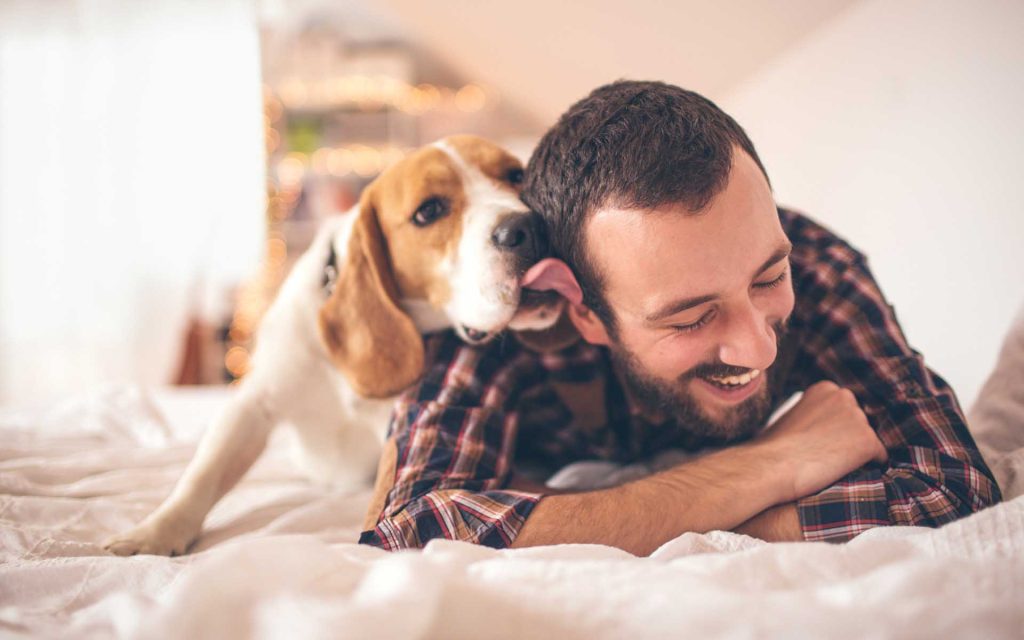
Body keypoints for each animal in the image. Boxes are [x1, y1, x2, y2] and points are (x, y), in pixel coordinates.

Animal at [103, 135, 569, 552]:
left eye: (516, 175)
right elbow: (204, 474)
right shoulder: (254, 403)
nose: (529, 226)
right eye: (430, 211)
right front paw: (154, 533)